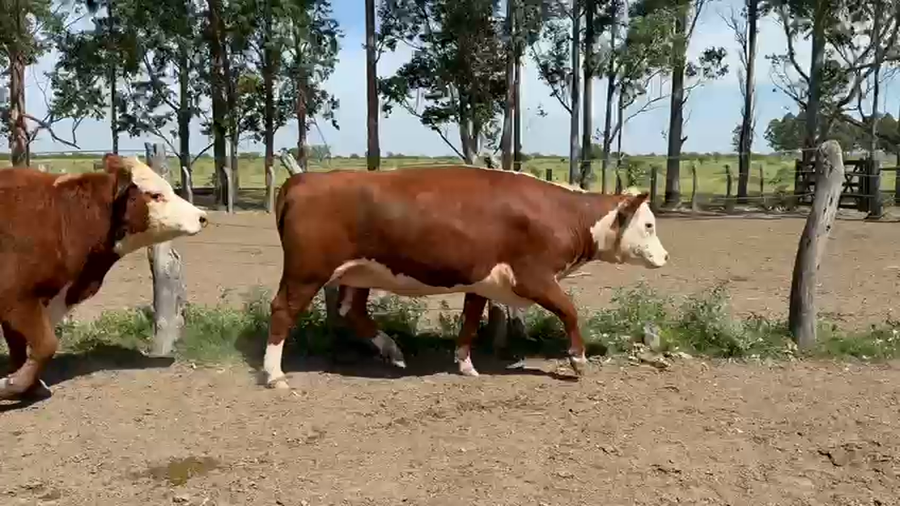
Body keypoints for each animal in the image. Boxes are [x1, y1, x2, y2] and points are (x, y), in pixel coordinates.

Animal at [0, 154, 209, 401]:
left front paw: (26, 384)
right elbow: (45, 345)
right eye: (156, 195)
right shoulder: (17, 299)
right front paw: (11, 385)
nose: (202, 217)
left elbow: (19, 348)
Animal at [264, 165, 668, 390]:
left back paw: (393, 351)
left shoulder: (482, 281)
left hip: (357, 273)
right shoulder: (533, 277)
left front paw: (465, 364)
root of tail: (303, 179)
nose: (665, 257)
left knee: (352, 311)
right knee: (283, 310)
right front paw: (578, 360)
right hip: (306, 271)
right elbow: (569, 310)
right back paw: (275, 375)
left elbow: (471, 321)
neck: (562, 213)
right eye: (649, 225)